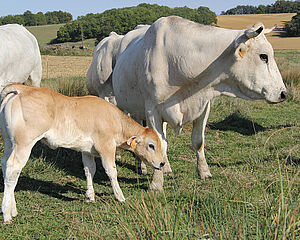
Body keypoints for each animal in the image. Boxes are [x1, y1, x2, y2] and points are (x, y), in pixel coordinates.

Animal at [0, 84, 164, 223]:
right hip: (24, 143)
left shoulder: (87, 150)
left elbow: (89, 170)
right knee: (13, 169)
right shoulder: (106, 147)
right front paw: (120, 196)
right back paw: (7, 214)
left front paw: (90, 196)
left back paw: (12, 210)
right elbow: (111, 172)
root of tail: (22, 88)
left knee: (5, 165)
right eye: (151, 145)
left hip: (9, 142)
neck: (115, 119)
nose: (162, 163)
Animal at [111, 15, 288, 191]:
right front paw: (156, 183)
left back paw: (165, 167)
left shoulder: (203, 106)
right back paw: (141, 166)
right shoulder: (152, 110)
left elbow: (197, 141)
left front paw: (204, 172)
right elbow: (156, 143)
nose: (283, 93)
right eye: (263, 56)